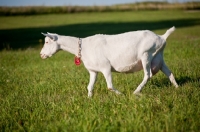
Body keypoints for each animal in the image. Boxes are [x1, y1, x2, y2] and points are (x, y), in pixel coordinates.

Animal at [40, 26, 178, 97]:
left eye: (47, 42)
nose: (41, 55)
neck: (83, 47)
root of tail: (161, 37)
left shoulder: (105, 67)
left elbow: (110, 86)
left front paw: (122, 95)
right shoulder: (93, 71)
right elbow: (89, 86)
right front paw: (89, 99)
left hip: (146, 55)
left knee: (147, 75)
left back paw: (136, 92)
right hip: (158, 57)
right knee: (169, 73)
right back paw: (178, 88)